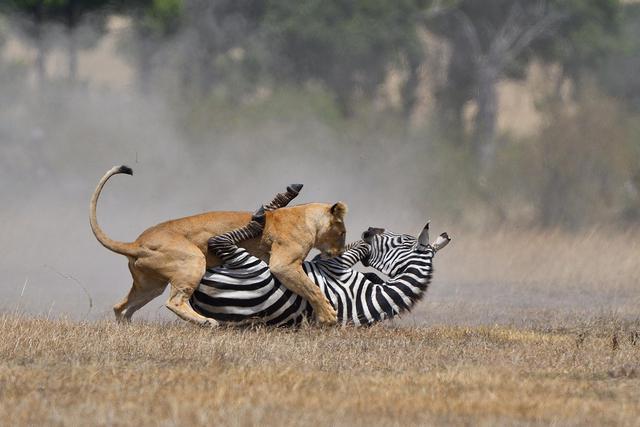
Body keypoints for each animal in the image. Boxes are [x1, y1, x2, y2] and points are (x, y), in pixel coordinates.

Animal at [190, 191, 450, 328]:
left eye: (402, 241)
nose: (369, 229)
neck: (371, 299)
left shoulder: (334, 267)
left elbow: (354, 251)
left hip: (251, 266)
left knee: (220, 241)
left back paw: (268, 210)